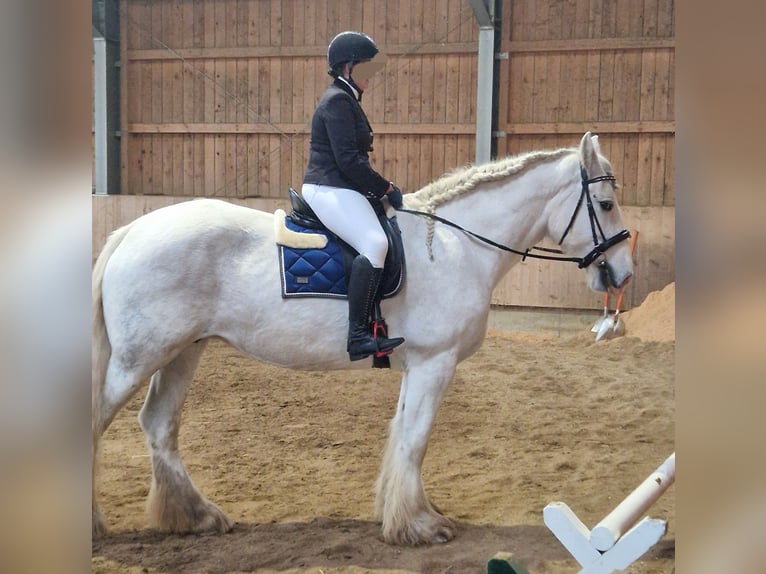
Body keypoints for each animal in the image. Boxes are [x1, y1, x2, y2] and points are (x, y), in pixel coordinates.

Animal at [93, 133, 632, 548]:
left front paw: (398, 512)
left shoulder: (418, 365)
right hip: (138, 359)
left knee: (159, 424)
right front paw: (420, 526)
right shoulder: (436, 363)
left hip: (183, 351)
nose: (623, 273)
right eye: (605, 204)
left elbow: (402, 435)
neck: (456, 245)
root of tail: (131, 231)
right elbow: (415, 439)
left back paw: (197, 516)